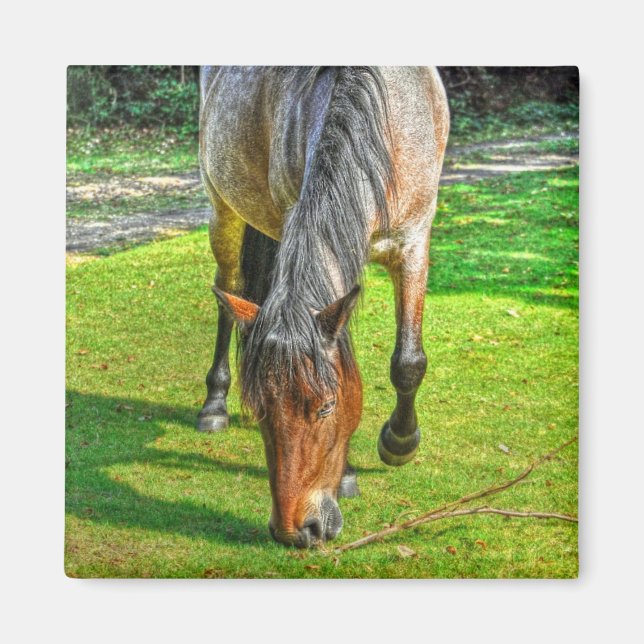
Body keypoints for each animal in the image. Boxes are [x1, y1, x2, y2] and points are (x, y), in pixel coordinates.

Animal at [198, 67, 449, 548]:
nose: (296, 530)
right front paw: (349, 474)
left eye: (328, 407)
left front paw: (399, 443)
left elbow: (408, 362)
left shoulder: (414, 242)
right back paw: (214, 405)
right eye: (261, 408)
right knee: (227, 290)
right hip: (223, 208)